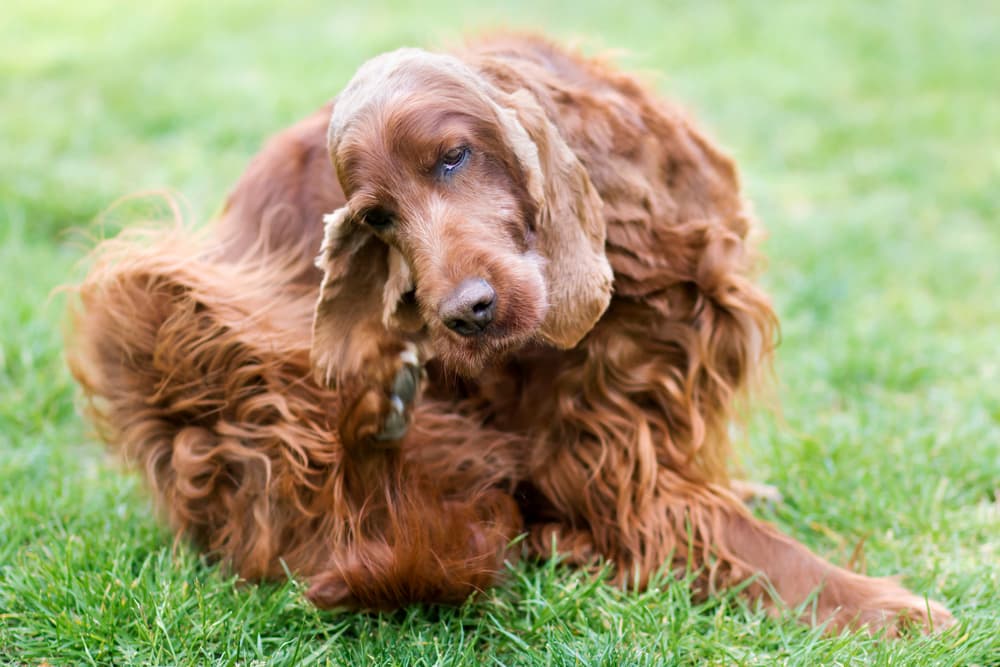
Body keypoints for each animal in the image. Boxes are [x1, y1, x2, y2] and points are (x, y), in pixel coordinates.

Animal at [70, 32, 952, 636]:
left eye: (456, 156)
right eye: (378, 218)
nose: (462, 313)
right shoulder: (591, 455)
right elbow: (734, 538)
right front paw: (882, 604)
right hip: (172, 309)